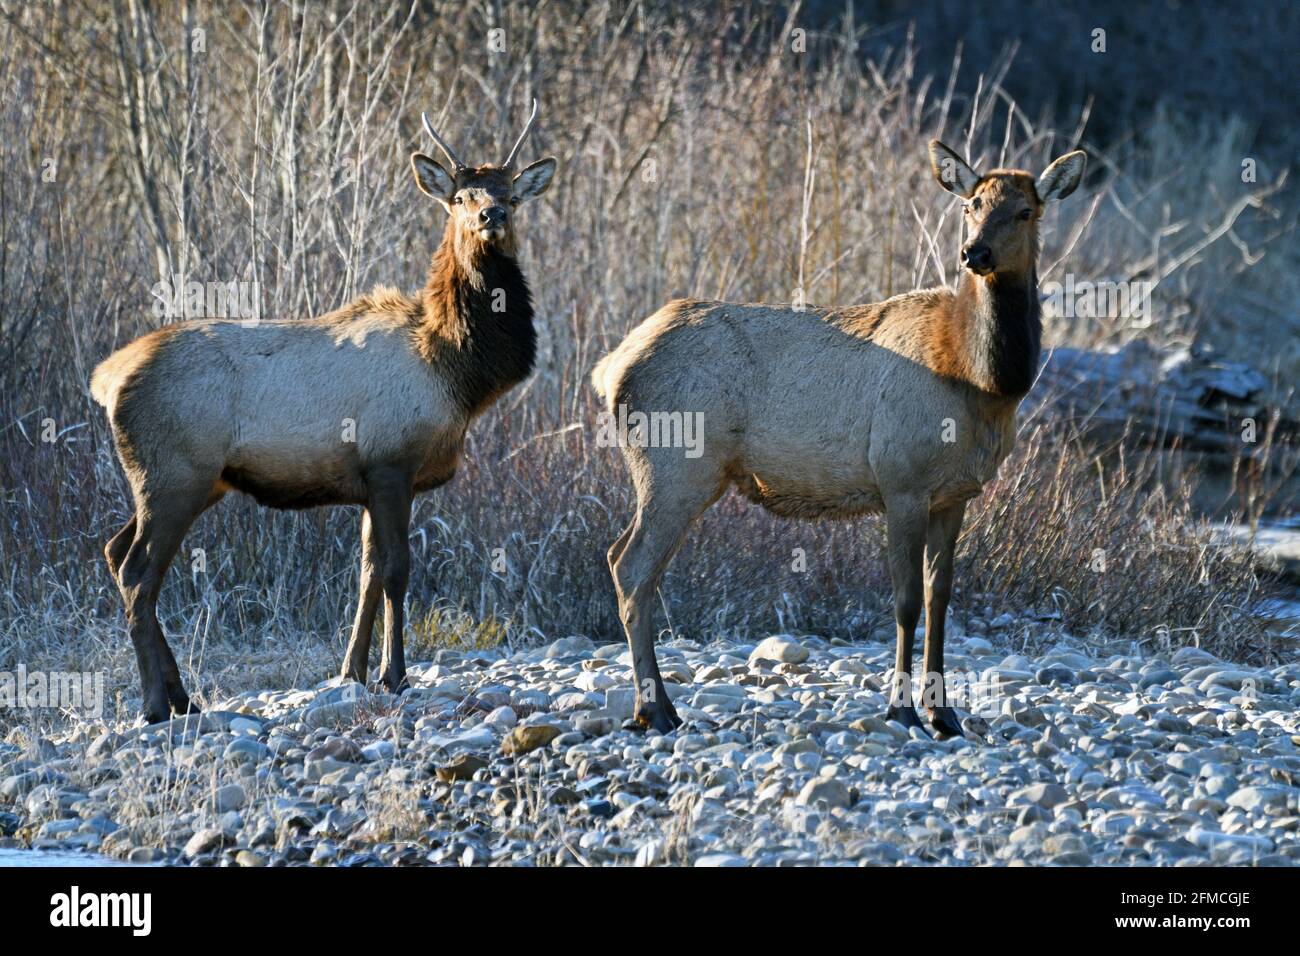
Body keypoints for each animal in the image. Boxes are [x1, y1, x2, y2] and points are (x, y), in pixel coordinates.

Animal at [90, 100, 559, 723]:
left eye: (511, 192)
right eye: (460, 196)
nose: (492, 214)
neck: (453, 371)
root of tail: (105, 379)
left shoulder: (369, 480)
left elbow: (366, 573)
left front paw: (351, 671)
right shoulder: (391, 463)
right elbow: (396, 570)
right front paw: (394, 674)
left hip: (187, 481)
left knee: (116, 552)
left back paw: (183, 697)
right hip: (173, 473)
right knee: (139, 571)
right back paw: (154, 704)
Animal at [595, 140, 1081, 733]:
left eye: (1026, 211)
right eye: (972, 205)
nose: (975, 253)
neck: (980, 381)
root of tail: (609, 368)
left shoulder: (955, 494)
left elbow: (941, 599)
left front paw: (945, 714)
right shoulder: (902, 480)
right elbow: (904, 601)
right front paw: (902, 710)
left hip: (673, 474)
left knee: (623, 559)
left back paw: (659, 705)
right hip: (676, 468)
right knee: (631, 567)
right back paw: (653, 709)